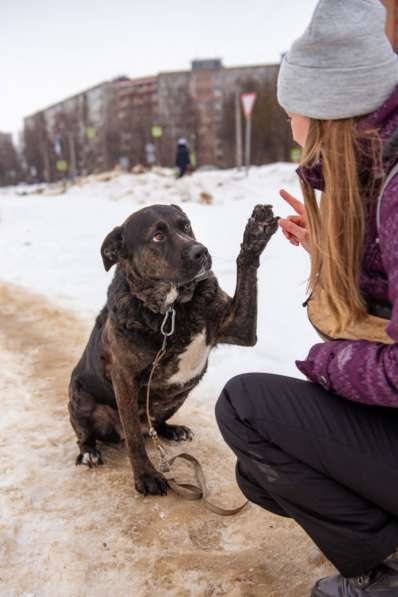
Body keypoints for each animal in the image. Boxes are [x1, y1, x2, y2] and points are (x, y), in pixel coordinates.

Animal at [68, 204, 278, 494]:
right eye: (157, 236)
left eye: (185, 226)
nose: (200, 251)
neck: (173, 309)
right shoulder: (123, 378)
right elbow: (133, 438)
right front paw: (146, 476)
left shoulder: (241, 328)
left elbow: (246, 272)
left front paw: (256, 233)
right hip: (81, 398)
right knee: (89, 432)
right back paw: (89, 451)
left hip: (177, 396)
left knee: (155, 424)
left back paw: (172, 430)